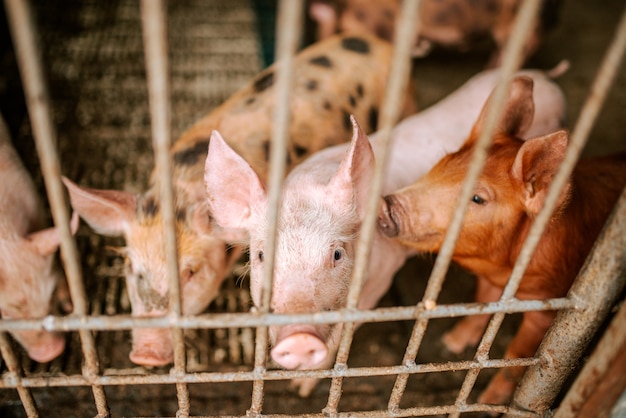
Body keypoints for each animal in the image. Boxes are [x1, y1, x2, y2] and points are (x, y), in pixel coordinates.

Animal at [202, 62, 564, 396]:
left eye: (337, 254)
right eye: (261, 255)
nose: (300, 337)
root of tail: (546, 77)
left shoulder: (379, 284)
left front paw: (301, 388)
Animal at [376, 76, 624, 406]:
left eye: (478, 198)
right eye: (441, 164)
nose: (385, 205)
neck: (502, 270)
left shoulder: (547, 306)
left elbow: (517, 354)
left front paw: (490, 404)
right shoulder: (489, 282)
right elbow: (480, 306)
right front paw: (450, 344)